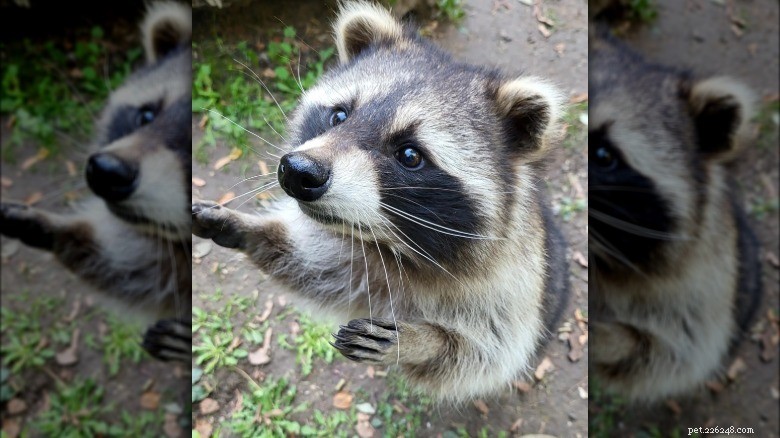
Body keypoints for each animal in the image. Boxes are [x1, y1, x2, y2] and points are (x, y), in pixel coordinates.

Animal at [192, 2, 569, 401]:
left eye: (410, 155)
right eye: (339, 115)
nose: (298, 172)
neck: (391, 244)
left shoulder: (510, 286)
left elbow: (484, 355)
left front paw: (423, 340)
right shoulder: (351, 252)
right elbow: (315, 267)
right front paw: (250, 228)